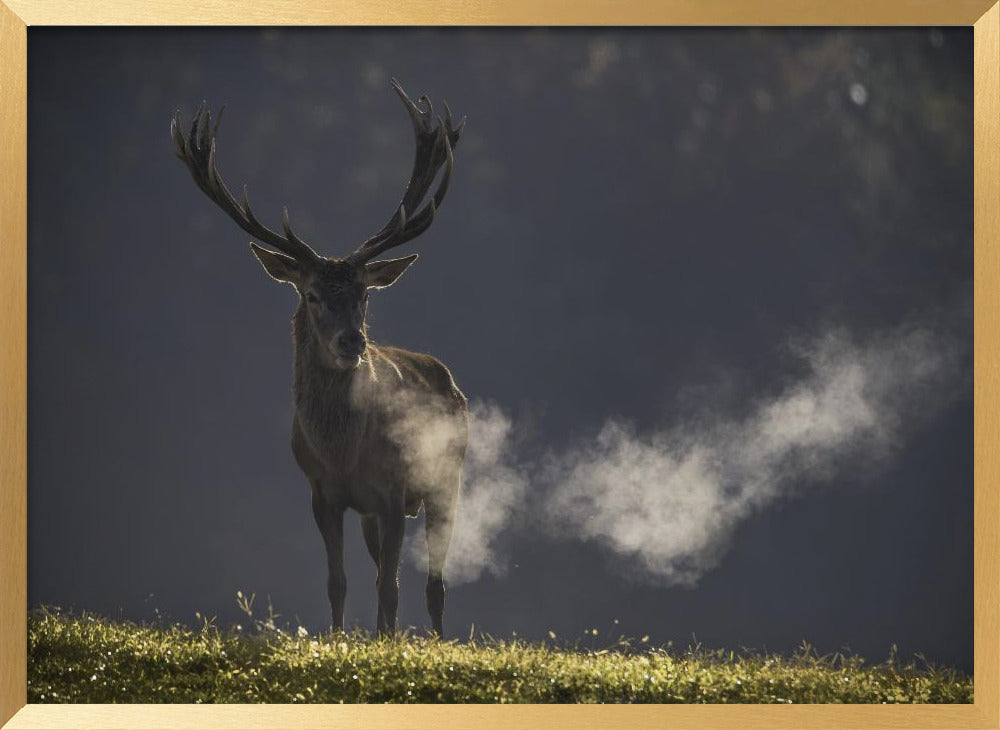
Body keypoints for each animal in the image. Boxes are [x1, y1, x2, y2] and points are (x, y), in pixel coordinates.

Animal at [171, 80, 468, 637]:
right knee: (389, 573)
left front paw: (388, 644)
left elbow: (392, 587)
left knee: (434, 582)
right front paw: (340, 639)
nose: (353, 342)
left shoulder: (394, 491)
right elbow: (340, 581)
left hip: (446, 477)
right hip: (377, 511)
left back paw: (435, 640)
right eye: (311, 294)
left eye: (365, 295)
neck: (343, 451)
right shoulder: (321, 492)